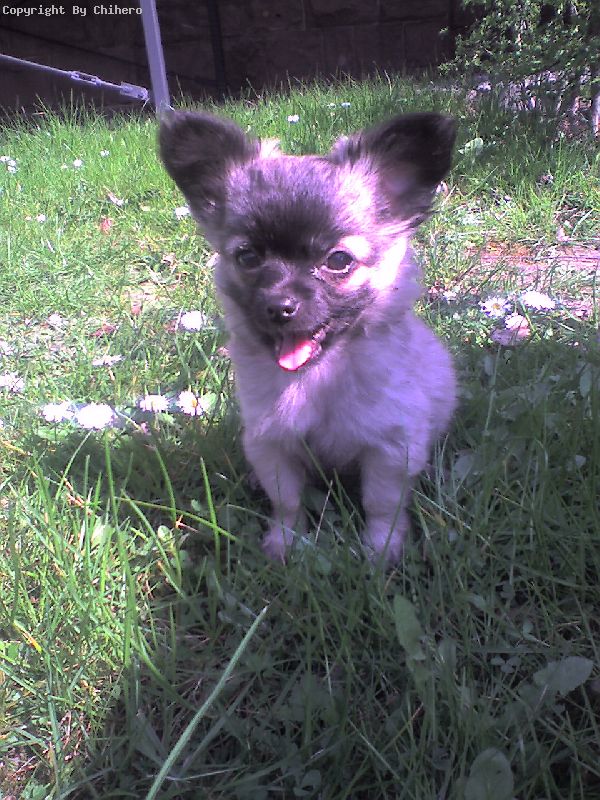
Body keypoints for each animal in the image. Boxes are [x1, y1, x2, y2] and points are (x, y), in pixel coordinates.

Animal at [159, 109, 457, 563]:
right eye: (248, 257)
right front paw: (285, 543)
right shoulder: (271, 445)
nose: (280, 307)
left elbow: (381, 505)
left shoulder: (390, 450)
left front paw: (380, 550)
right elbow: (288, 501)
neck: (317, 377)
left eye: (338, 260)